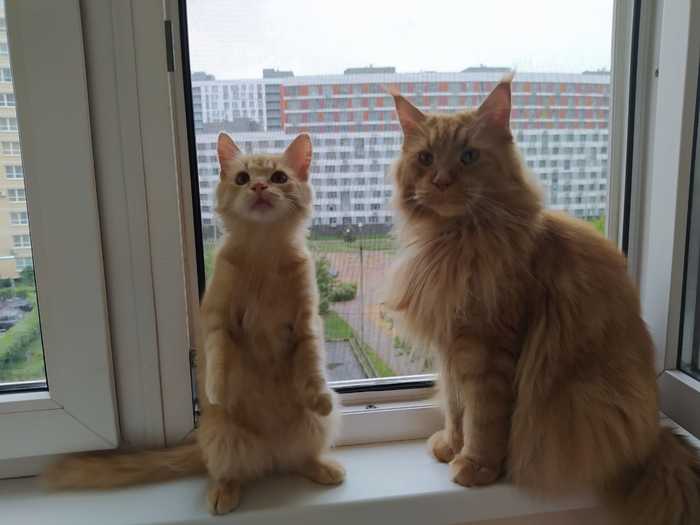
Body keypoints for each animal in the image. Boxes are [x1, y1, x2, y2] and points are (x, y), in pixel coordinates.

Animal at [43, 132, 345, 515]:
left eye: (279, 177)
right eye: (243, 178)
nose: (259, 186)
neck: (263, 254)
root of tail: (270, 452)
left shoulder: (307, 322)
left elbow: (312, 361)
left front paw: (319, 394)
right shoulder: (216, 320)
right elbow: (218, 357)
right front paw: (217, 390)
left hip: (314, 427)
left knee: (299, 459)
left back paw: (321, 466)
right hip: (223, 438)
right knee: (229, 473)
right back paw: (223, 493)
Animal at [383, 77, 700, 524]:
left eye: (468, 156)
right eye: (426, 159)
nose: (442, 180)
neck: (455, 242)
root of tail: (655, 438)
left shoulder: (489, 348)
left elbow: (483, 417)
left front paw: (476, 465)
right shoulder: (452, 345)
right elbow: (455, 406)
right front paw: (451, 445)